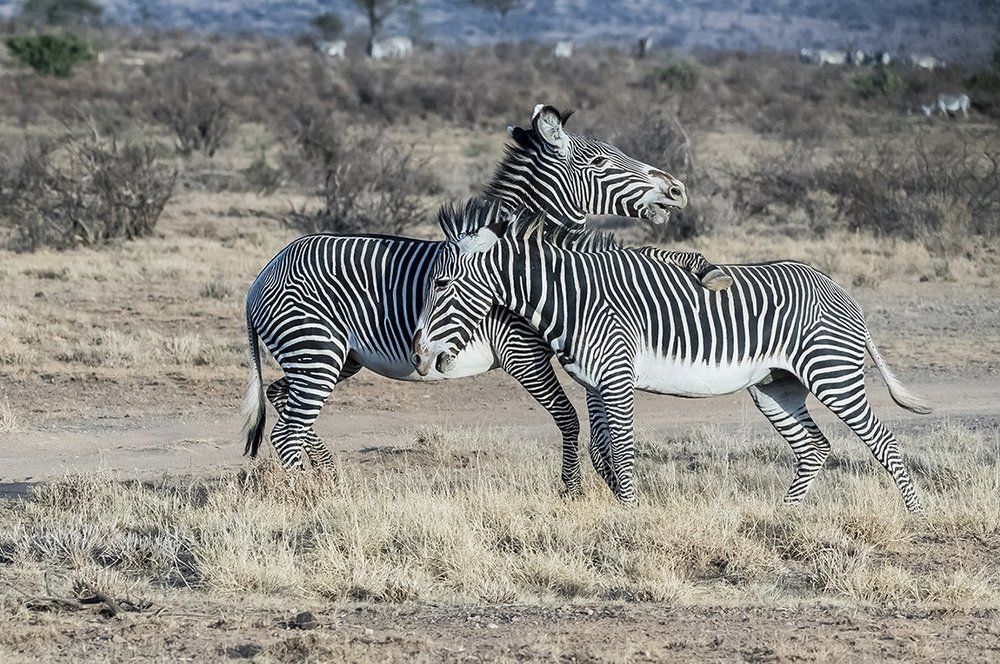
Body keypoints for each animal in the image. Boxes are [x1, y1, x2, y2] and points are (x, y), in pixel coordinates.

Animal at [242, 104, 723, 488]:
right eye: (603, 161)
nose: (677, 189)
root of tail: (262, 275)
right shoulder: (523, 352)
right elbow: (569, 418)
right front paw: (573, 488)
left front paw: (704, 268)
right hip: (316, 352)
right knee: (287, 431)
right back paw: (312, 496)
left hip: (337, 357)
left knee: (284, 402)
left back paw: (328, 476)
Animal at [411, 206, 931, 513]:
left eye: (441, 284)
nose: (418, 356)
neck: (573, 298)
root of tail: (842, 293)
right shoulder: (594, 383)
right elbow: (603, 451)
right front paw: (621, 507)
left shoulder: (617, 375)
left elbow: (622, 450)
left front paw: (630, 517)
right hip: (775, 387)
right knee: (814, 447)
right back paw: (785, 516)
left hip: (832, 375)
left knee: (883, 441)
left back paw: (915, 515)